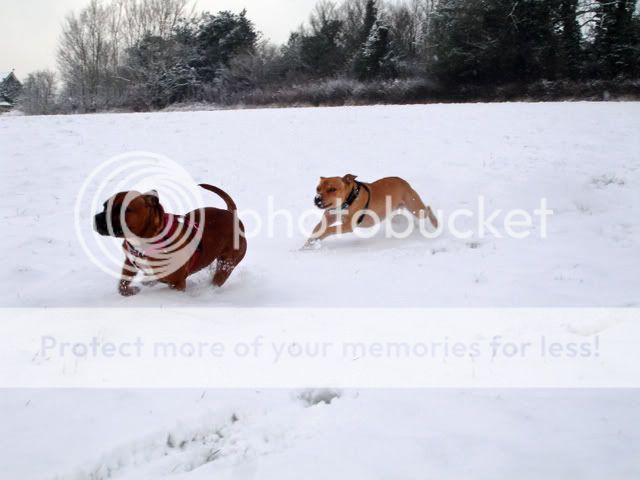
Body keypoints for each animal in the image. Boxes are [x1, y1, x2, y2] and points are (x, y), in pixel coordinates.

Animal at [94, 185, 246, 294]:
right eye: (105, 206)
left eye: (121, 209)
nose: (96, 217)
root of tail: (233, 216)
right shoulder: (129, 262)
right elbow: (122, 284)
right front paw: (129, 291)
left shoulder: (177, 282)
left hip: (227, 264)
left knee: (218, 277)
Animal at [306, 174, 440, 248]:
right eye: (317, 188)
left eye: (332, 189)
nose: (317, 199)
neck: (347, 201)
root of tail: (402, 181)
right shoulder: (327, 219)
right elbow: (317, 230)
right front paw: (308, 245)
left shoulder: (348, 225)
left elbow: (329, 230)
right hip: (393, 215)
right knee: (404, 220)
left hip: (415, 207)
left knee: (427, 209)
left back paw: (435, 224)